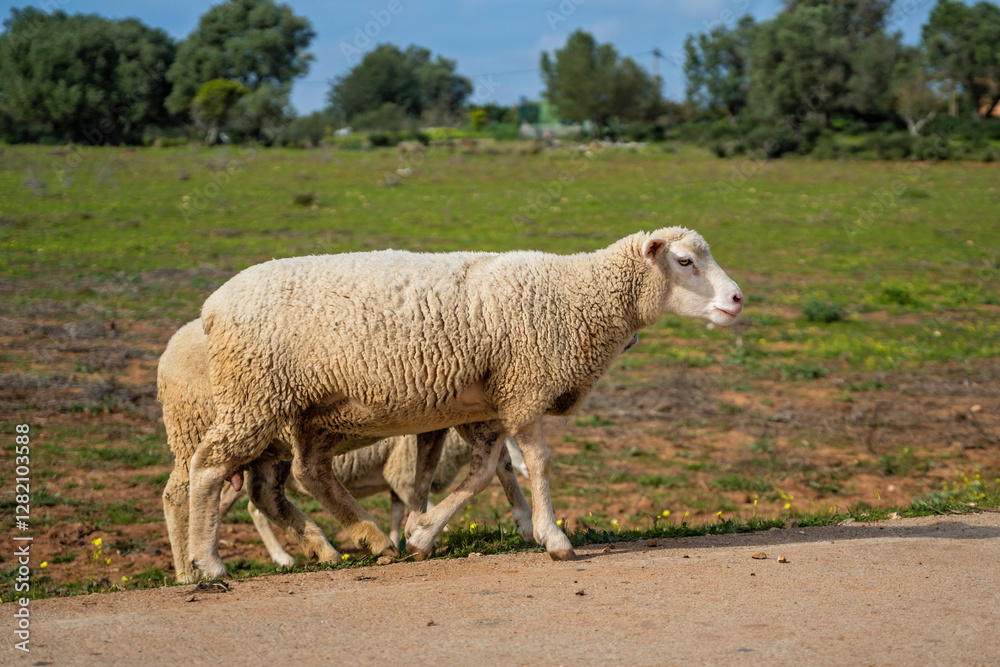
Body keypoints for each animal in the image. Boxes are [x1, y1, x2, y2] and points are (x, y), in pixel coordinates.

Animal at [160, 319, 530, 581]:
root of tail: (168, 351)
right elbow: (433, 479)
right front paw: (422, 533)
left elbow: (444, 475)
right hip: (200, 428)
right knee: (183, 492)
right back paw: (192, 569)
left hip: (269, 442)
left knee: (266, 492)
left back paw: (324, 547)